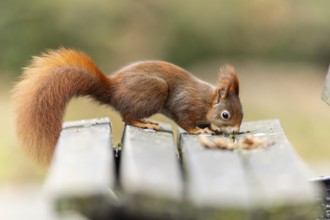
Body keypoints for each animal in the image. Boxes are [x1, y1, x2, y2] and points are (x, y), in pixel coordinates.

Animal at [12, 49, 242, 164]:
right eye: (225, 114)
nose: (236, 130)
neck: (206, 102)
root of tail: (113, 91)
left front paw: (212, 129)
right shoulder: (185, 104)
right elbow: (185, 121)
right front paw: (199, 130)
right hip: (155, 90)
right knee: (126, 116)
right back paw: (145, 123)